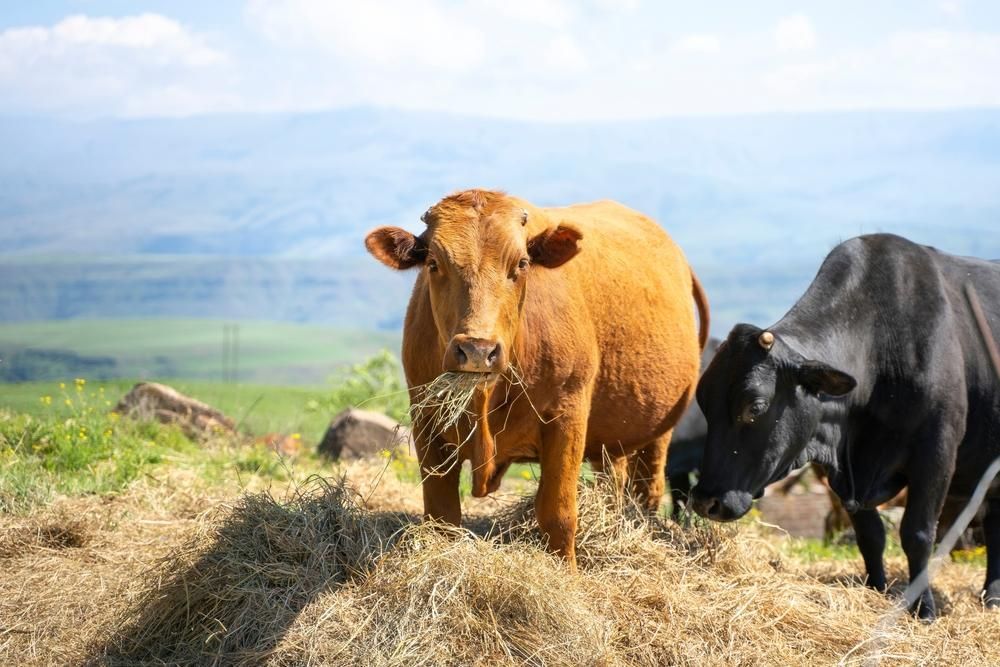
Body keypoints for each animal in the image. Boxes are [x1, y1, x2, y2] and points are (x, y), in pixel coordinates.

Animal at [365, 189, 709, 568]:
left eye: (521, 264)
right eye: (433, 264)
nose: (477, 349)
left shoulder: (568, 419)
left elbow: (558, 513)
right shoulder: (427, 420)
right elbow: (442, 515)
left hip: (659, 433)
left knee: (647, 491)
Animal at [690, 233, 1000, 620]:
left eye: (755, 406)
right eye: (703, 403)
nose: (705, 501)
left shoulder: (937, 455)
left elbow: (917, 534)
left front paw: (924, 609)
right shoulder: (838, 467)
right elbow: (870, 535)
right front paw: (875, 588)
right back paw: (993, 596)